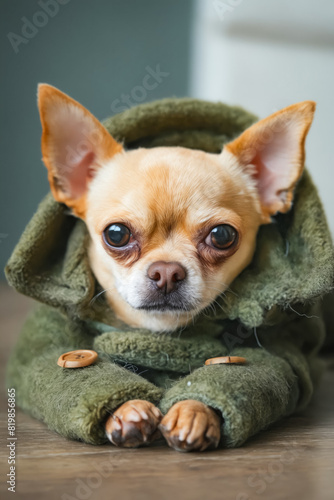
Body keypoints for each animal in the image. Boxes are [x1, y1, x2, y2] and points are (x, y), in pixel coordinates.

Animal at [37, 84, 314, 452]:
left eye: (222, 235)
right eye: (116, 234)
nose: (166, 272)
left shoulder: (279, 352)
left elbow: (257, 371)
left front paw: (194, 411)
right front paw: (127, 409)